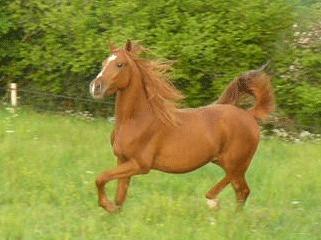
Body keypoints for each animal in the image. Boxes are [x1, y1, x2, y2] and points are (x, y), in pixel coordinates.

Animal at [89, 40, 274, 213]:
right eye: (104, 63)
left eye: (120, 64)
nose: (95, 87)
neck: (136, 120)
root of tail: (249, 115)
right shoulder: (122, 160)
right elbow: (119, 196)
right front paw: (114, 212)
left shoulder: (140, 165)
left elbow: (101, 177)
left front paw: (107, 206)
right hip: (224, 161)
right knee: (242, 190)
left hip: (235, 161)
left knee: (235, 181)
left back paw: (212, 200)